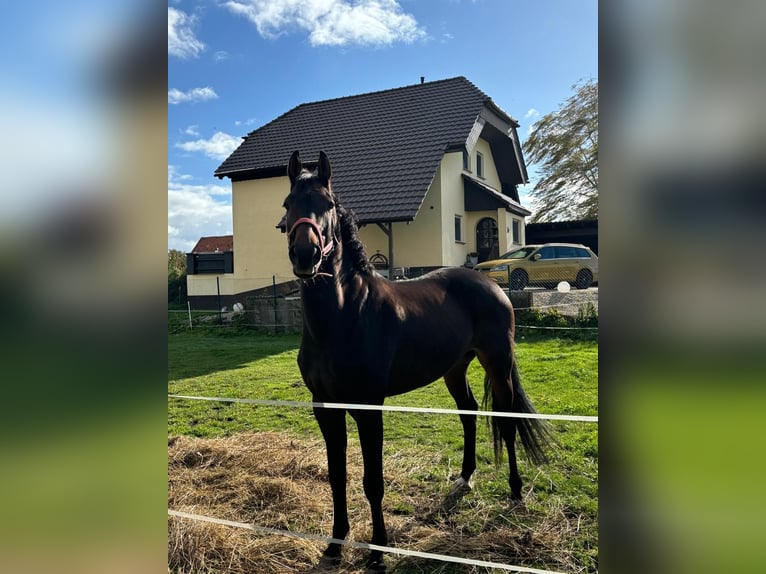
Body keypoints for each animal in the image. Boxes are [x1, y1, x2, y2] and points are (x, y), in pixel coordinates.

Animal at [283, 150, 553, 572]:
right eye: (287, 204)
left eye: (326, 204)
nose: (305, 255)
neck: (343, 315)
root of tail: (490, 283)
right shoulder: (325, 406)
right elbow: (336, 475)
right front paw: (335, 545)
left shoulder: (368, 407)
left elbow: (372, 481)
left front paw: (377, 551)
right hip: (455, 368)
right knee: (469, 413)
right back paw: (464, 478)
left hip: (498, 363)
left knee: (506, 422)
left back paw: (515, 492)